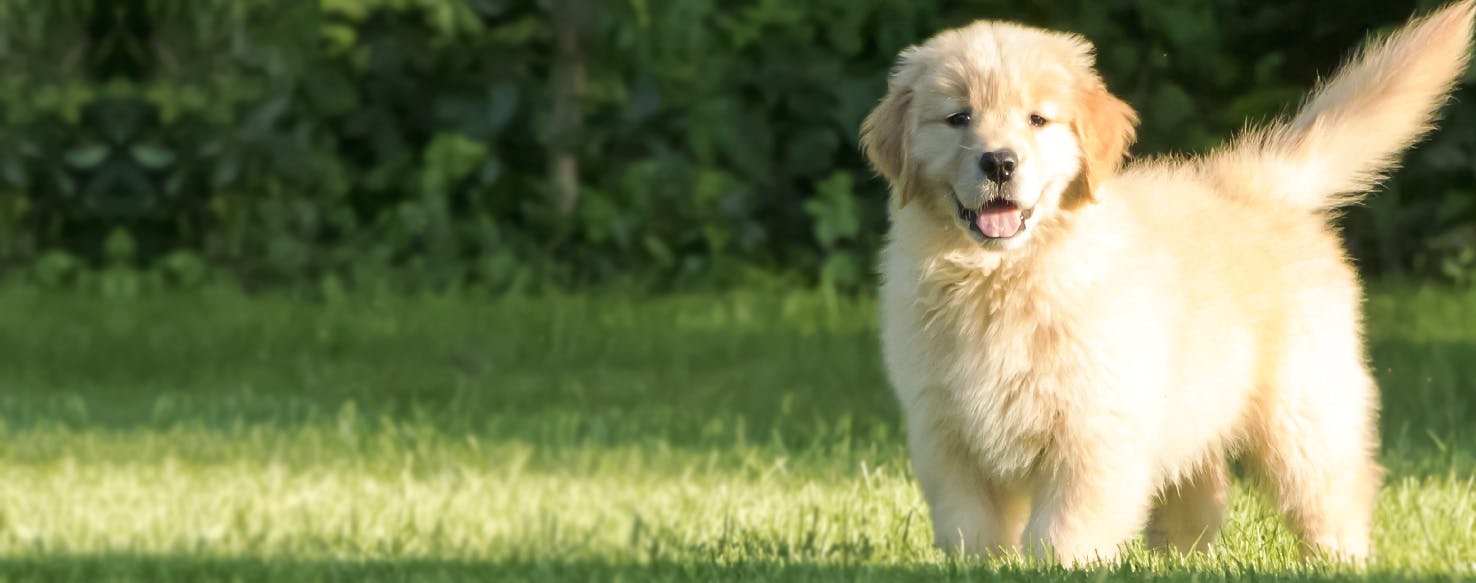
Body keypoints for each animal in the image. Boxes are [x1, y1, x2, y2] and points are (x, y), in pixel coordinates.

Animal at [861, 0, 1476, 566]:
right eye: (957, 118)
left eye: (1038, 120)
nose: (1000, 163)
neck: (1005, 276)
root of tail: (1258, 183)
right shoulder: (947, 432)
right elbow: (971, 526)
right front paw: (978, 567)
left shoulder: (1095, 426)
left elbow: (1065, 526)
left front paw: (1059, 566)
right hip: (1197, 403)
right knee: (1201, 489)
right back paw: (1179, 558)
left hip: (1303, 409)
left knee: (1334, 489)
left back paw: (1337, 559)